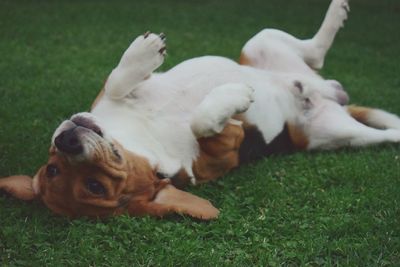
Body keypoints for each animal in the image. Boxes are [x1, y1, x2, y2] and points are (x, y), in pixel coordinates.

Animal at [0, 0, 400, 221]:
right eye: (95, 187)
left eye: (52, 165)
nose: (66, 141)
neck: (142, 136)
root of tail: (329, 95)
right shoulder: (227, 146)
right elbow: (203, 123)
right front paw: (233, 96)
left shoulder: (108, 97)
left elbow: (116, 79)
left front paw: (144, 52)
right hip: (338, 135)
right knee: (382, 134)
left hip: (261, 42)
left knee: (313, 53)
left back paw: (334, 19)